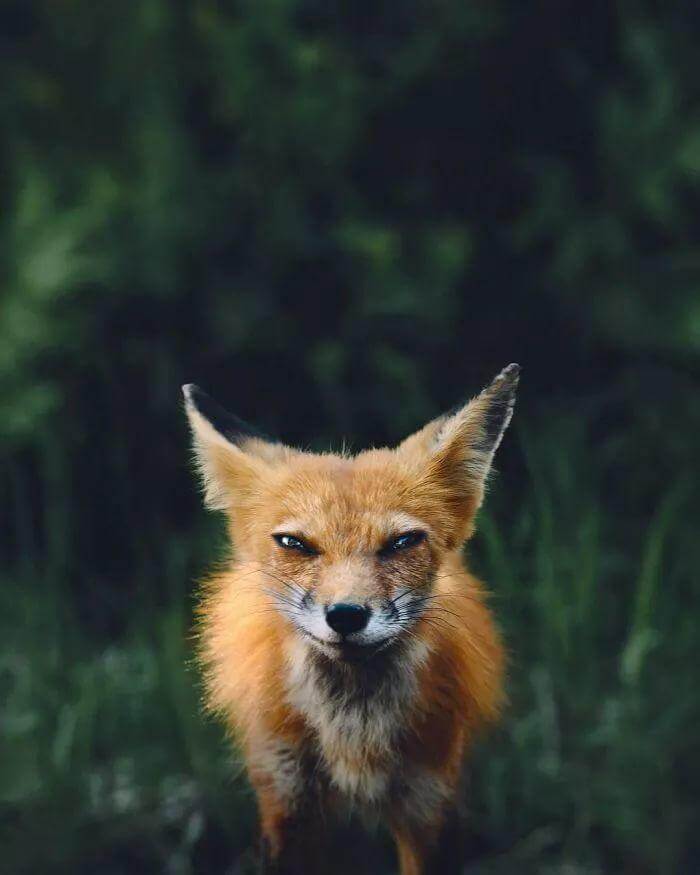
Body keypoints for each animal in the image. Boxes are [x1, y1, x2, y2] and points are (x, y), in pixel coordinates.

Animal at [182, 362, 520, 875]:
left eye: (401, 543)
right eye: (295, 544)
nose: (345, 615)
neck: (353, 736)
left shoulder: (430, 799)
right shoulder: (287, 799)